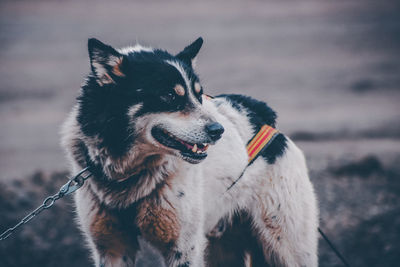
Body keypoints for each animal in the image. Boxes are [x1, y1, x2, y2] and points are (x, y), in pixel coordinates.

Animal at [61, 36, 318, 266]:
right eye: (169, 95)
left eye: (198, 94)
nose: (218, 130)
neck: (128, 175)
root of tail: (267, 121)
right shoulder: (113, 248)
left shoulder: (182, 247)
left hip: (286, 247)